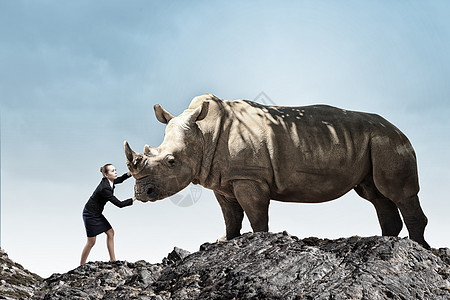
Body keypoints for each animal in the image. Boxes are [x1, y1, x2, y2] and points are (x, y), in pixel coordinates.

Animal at [125, 94, 430, 248]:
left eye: (171, 161)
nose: (142, 193)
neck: (204, 133)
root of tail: (396, 128)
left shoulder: (249, 177)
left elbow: (256, 214)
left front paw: (258, 241)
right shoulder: (222, 180)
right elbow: (231, 216)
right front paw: (224, 242)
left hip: (389, 141)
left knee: (398, 193)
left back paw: (419, 249)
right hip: (374, 142)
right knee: (376, 194)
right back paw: (387, 243)